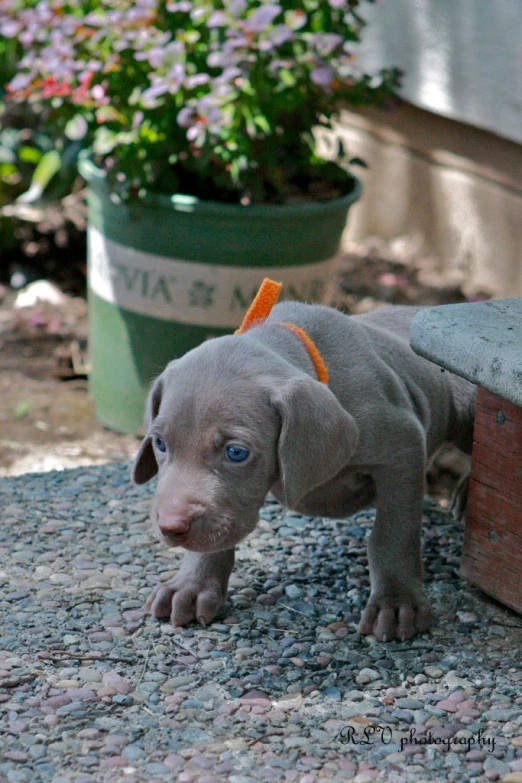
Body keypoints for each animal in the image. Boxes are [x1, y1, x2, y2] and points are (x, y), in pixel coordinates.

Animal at [132, 302, 474, 644]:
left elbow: (393, 533)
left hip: (463, 407)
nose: (171, 526)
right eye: (160, 443)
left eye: (236, 452)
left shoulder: (403, 447)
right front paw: (192, 585)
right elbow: (212, 539)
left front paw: (396, 602)